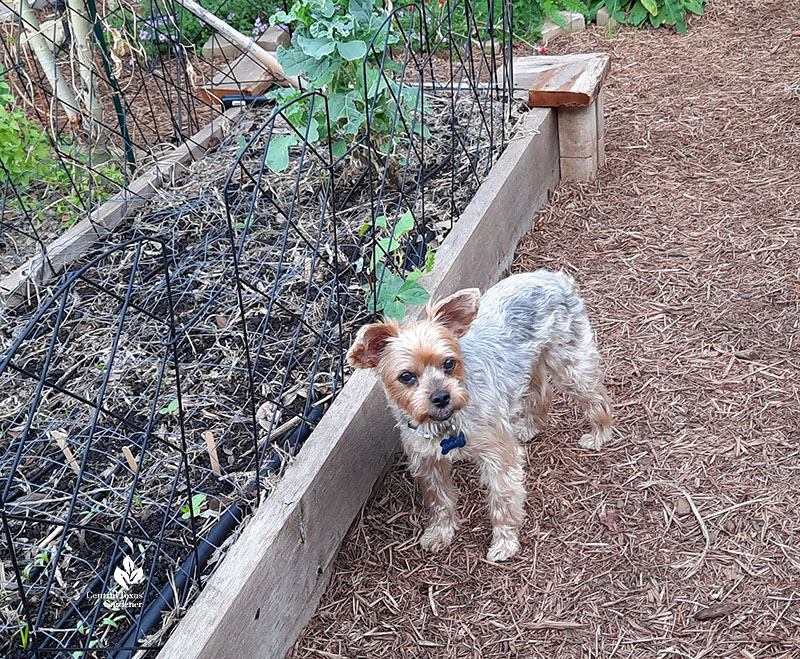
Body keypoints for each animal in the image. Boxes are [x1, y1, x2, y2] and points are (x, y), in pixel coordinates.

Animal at [346, 270, 616, 564]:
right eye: (406, 376)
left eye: (449, 363)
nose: (441, 396)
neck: (446, 425)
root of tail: (552, 276)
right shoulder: (427, 462)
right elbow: (439, 500)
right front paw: (439, 532)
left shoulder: (498, 456)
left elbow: (503, 500)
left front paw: (505, 542)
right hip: (528, 363)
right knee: (541, 390)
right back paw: (530, 426)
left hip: (569, 364)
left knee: (596, 397)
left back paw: (599, 434)